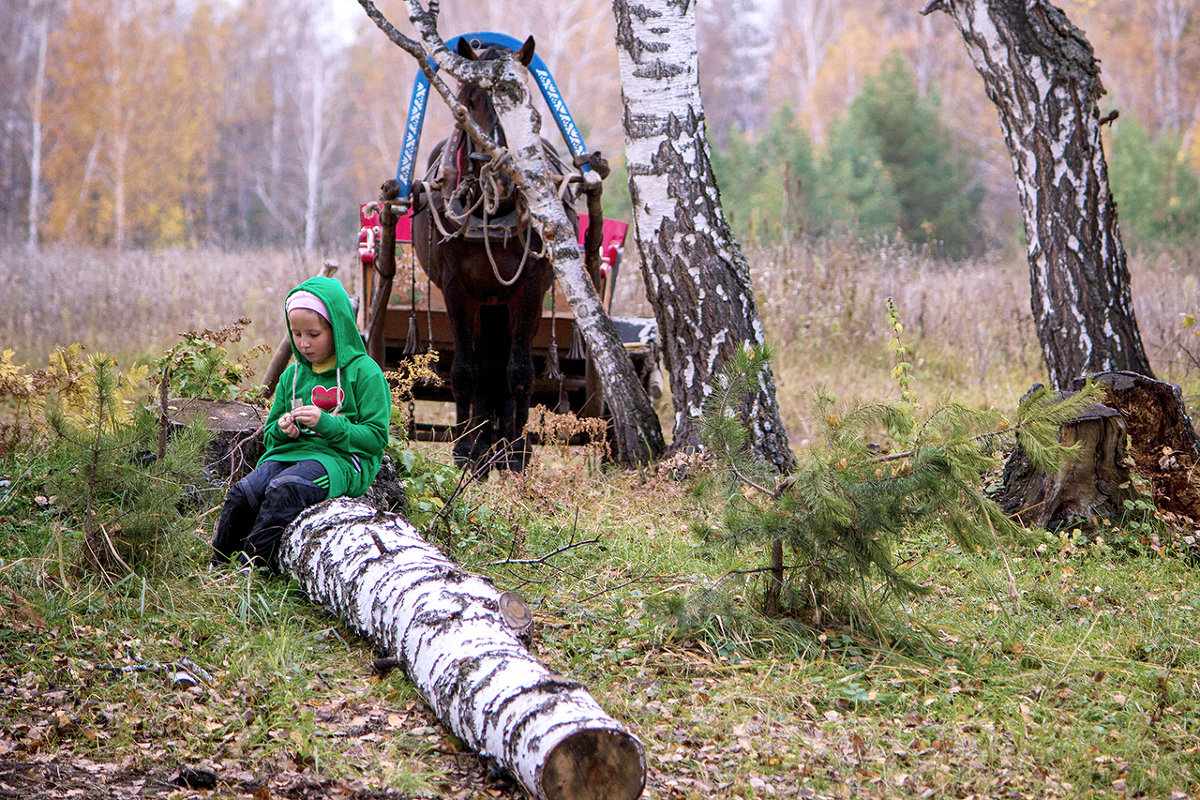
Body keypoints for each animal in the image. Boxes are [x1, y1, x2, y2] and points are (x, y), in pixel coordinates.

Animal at [412, 37, 576, 472]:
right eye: (467, 100)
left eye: (522, 103)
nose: (495, 173)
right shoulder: (456, 288)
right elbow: (466, 370)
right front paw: (465, 449)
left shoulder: (529, 287)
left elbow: (518, 370)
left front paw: (516, 452)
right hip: (485, 301)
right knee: (484, 361)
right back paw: (482, 440)